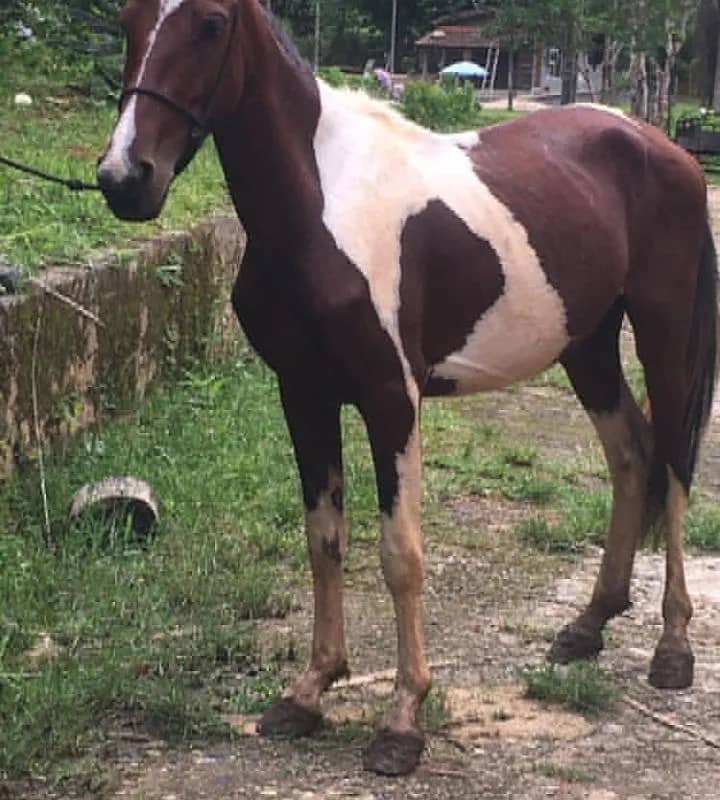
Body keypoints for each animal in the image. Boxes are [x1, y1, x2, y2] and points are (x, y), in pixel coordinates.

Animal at [97, 0, 718, 777]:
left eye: (210, 25)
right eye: (127, 20)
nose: (125, 177)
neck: (319, 203)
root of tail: (663, 147)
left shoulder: (391, 399)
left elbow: (400, 556)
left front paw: (400, 722)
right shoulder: (303, 395)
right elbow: (324, 540)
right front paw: (309, 692)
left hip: (664, 336)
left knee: (674, 469)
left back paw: (673, 648)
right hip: (590, 347)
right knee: (633, 455)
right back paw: (589, 625)